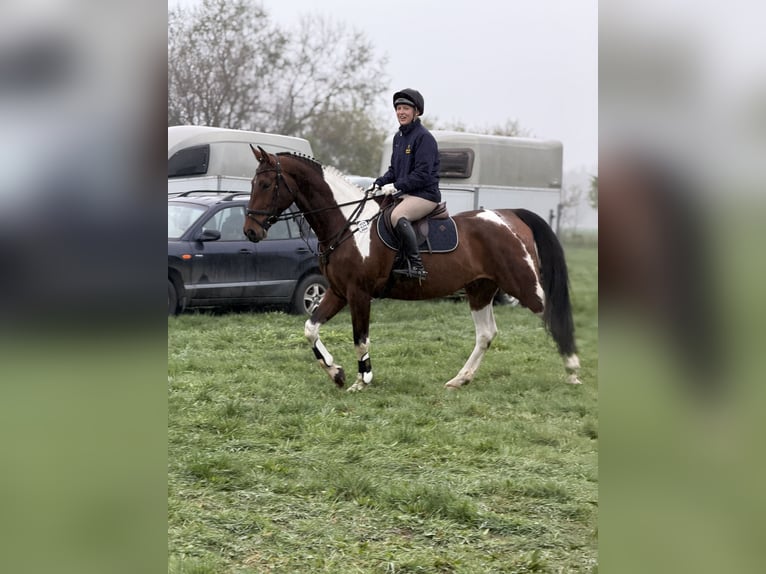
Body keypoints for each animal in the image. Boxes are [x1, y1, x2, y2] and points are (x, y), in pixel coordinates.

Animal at [244, 146, 581, 391]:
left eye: (265, 184)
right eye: (253, 183)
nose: (250, 231)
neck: (348, 225)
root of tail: (509, 216)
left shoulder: (359, 293)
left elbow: (360, 339)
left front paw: (362, 379)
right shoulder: (338, 292)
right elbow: (310, 329)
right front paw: (336, 372)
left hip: (523, 285)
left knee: (554, 315)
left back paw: (573, 370)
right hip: (480, 289)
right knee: (486, 334)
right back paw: (460, 379)